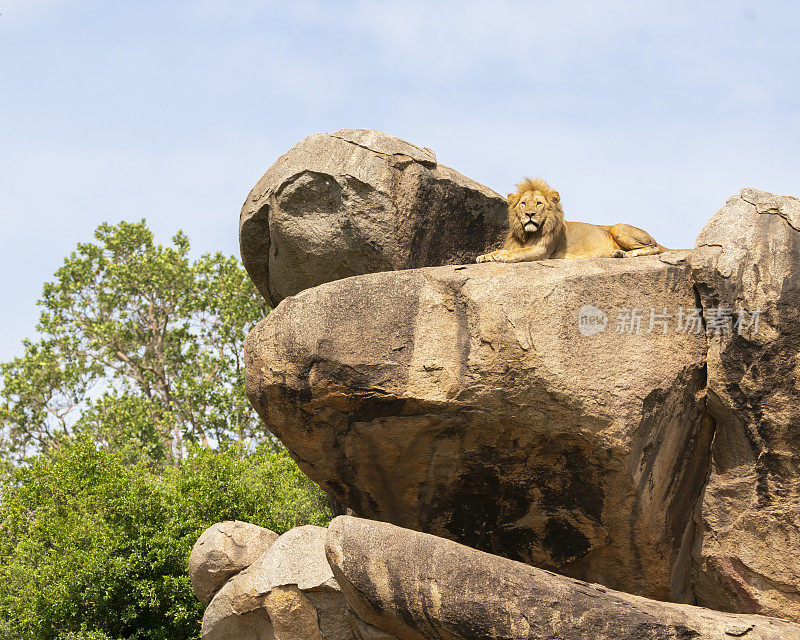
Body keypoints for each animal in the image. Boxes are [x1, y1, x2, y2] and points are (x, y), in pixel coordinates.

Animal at [478, 178, 664, 262]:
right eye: (523, 203)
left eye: (538, 203)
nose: (530, 214)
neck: (527, 234)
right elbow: (502, 250)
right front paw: (485, 256)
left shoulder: (542, 250)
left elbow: (518, 253)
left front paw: (503, 256)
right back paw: (618, 253)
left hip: (618, 228)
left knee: (654, 249)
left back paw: (628, 253)